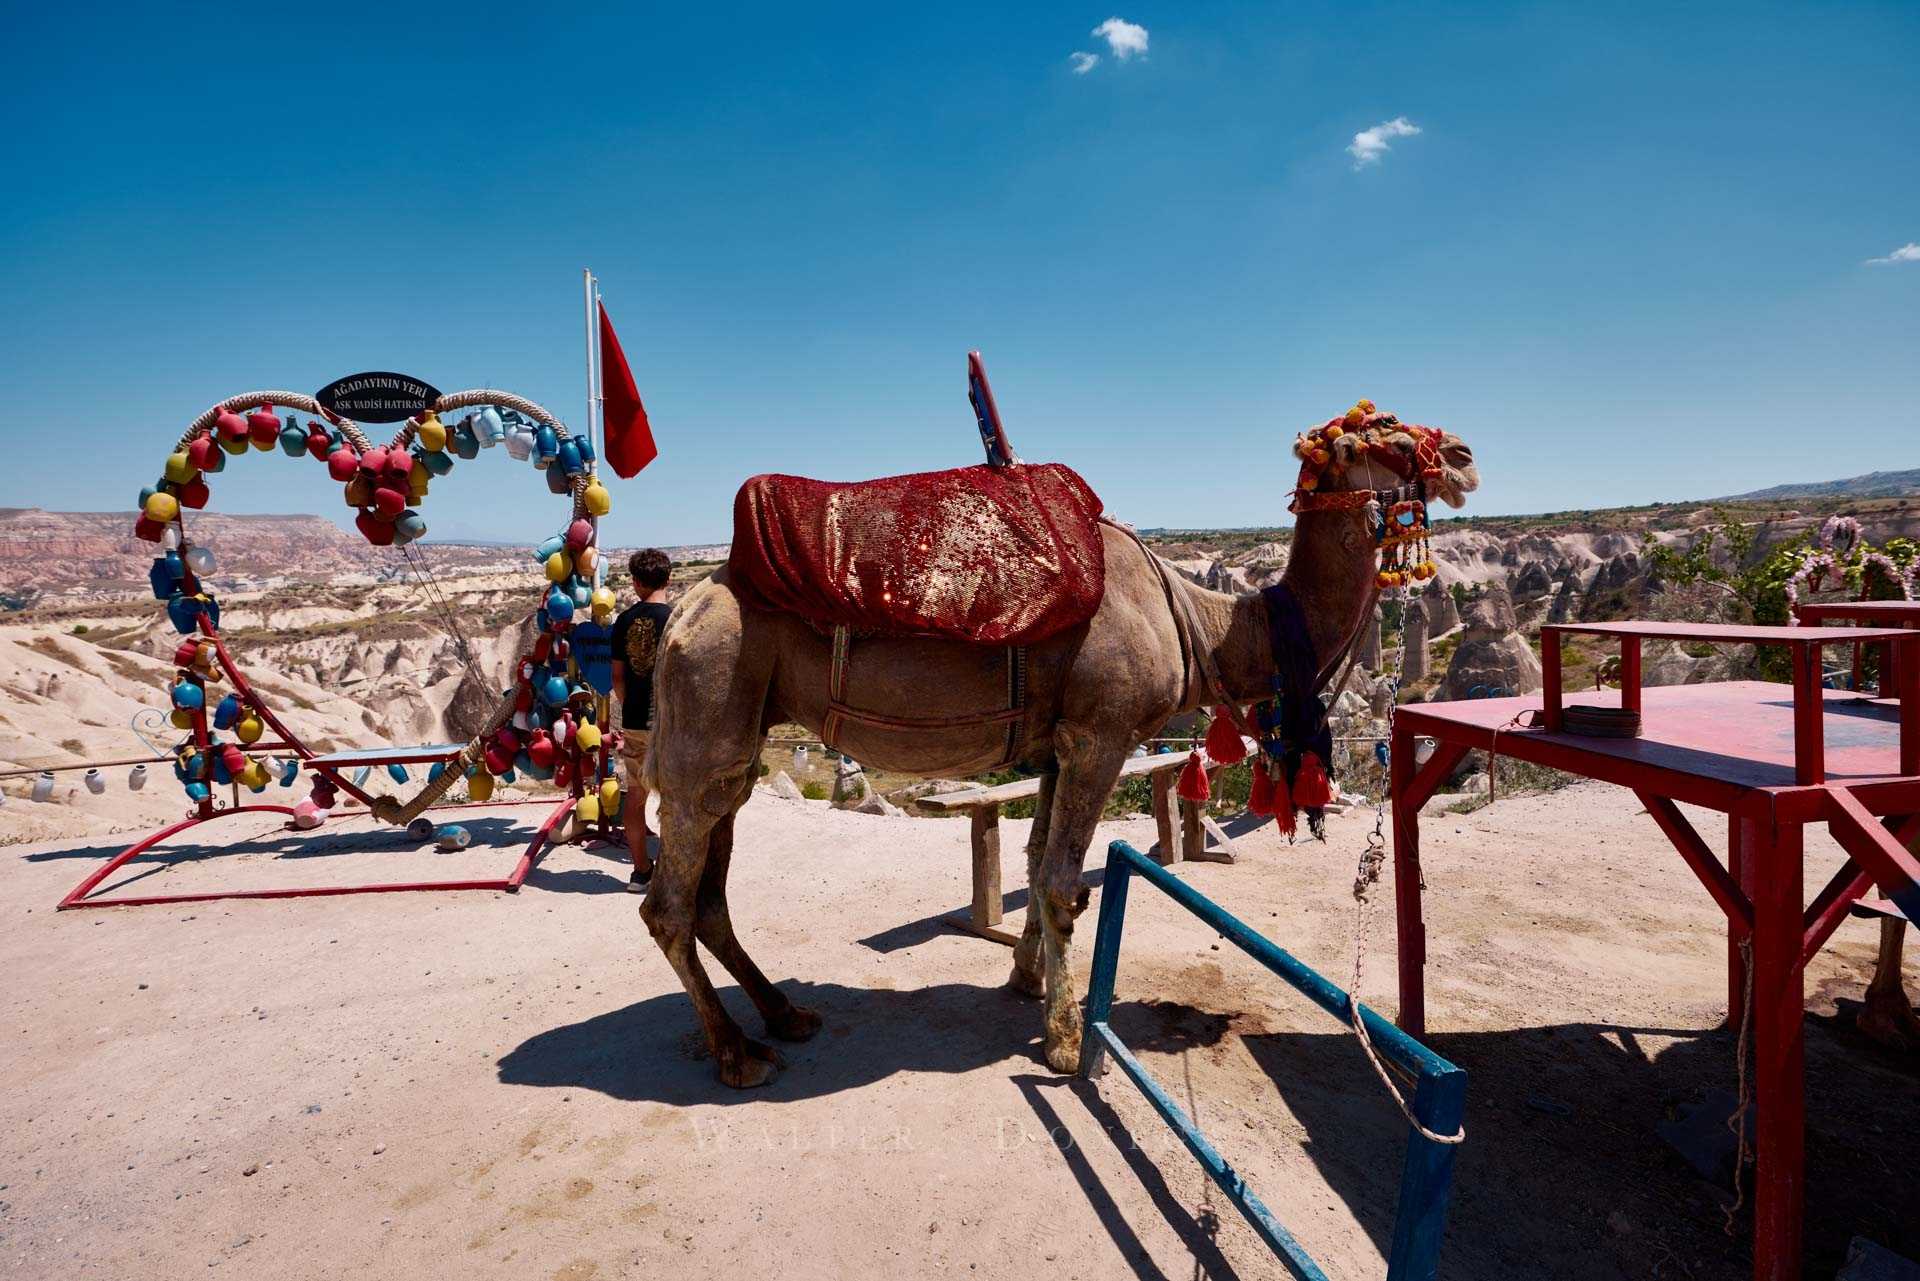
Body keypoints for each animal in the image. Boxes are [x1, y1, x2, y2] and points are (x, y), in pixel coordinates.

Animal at [648, 416, 1482, 1090]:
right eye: (1391, 435)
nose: (1466, 456)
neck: (1201, 624)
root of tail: (684, 610)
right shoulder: (1100, 733)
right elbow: (1059, 880)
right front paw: (1065, 1037)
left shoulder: (1053, 742)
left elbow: (1035, 856)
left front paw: (1025, 980)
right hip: (713, 689)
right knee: (667, 901)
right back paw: (736, 1054)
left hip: (740, 725)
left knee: (713, 884)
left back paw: (784, 1014)